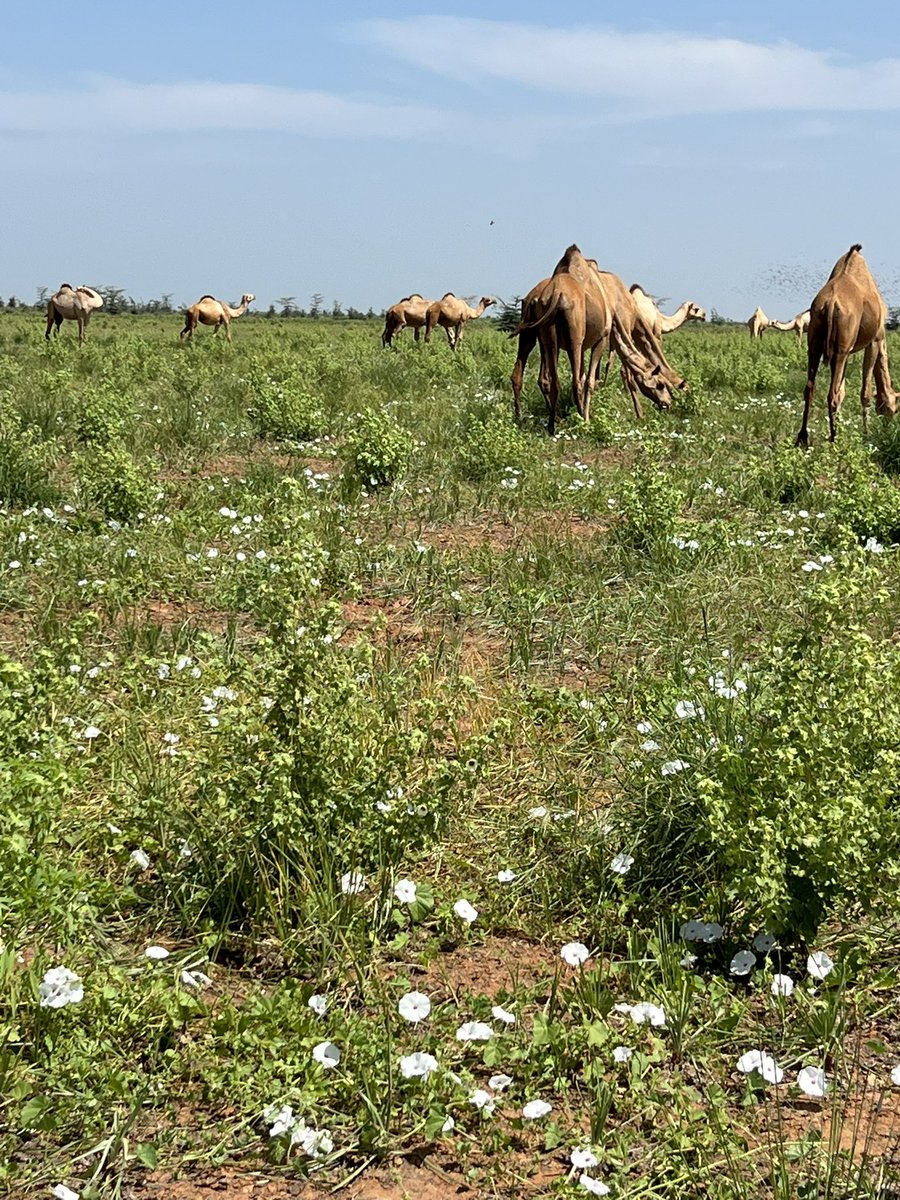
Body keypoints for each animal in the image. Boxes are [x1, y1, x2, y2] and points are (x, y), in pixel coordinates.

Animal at [510, 246, 676, 435]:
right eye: (660, 384)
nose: (667, 403)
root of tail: (555, 295)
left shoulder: (583, 344)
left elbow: (586, 377)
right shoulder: (603, 337)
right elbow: (592, 380)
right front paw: (637, 414)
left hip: (541, 335)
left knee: (538, 377)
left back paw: (541, 421)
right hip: (573, 335)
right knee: (574, 382)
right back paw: (580, 421)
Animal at [796, 244, 897, 447]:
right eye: (894, 409)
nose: (890, 426)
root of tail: (830, 303)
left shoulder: (847, 350)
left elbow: (843, 390)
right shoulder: (875, 340)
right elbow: (865, 392)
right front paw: (866, 433)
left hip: (816, 345)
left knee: (810, 389)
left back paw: (803, 438)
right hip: (839, 349)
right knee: (831, 394)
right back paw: (834, 440)